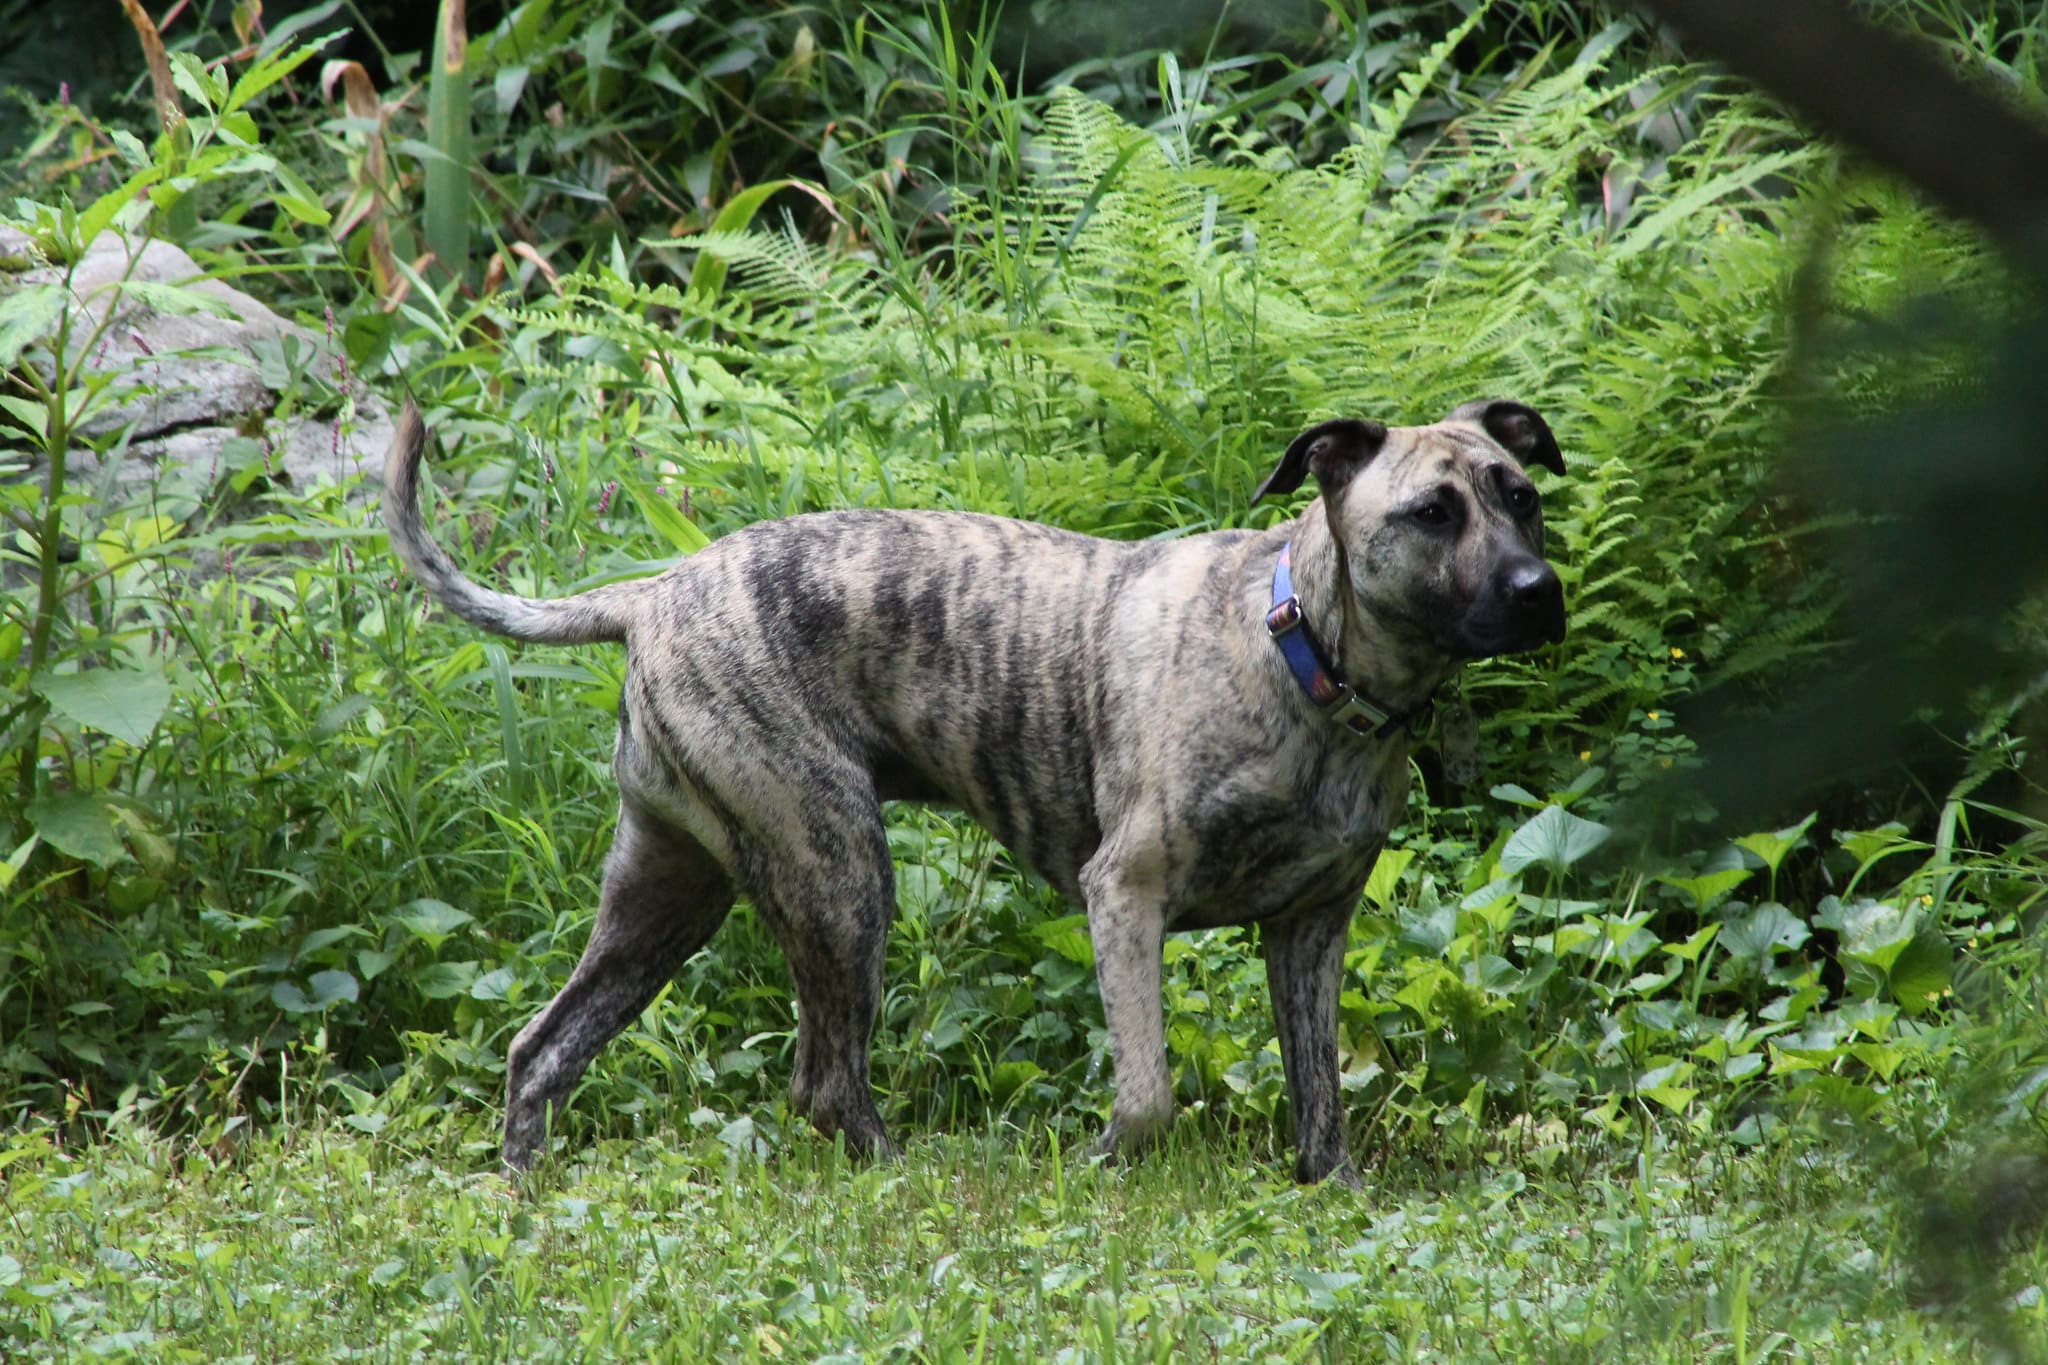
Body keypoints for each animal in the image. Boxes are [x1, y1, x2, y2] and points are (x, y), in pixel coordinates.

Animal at [385, 397, 1564, 1186]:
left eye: (1523, 497)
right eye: (1432, 512)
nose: (1538, 590)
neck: (1303, 655)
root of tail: (651, 594)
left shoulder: (1311, 930)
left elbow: (1319, 1098)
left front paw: (1335, 1191)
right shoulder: (1123, 894)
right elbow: (1147, 1094)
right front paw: (1101, 1165)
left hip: (665, 901)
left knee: (541, 1049)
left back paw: (525, 1186)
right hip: (838, 876)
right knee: (822, 1083)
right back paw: (898, 1169)